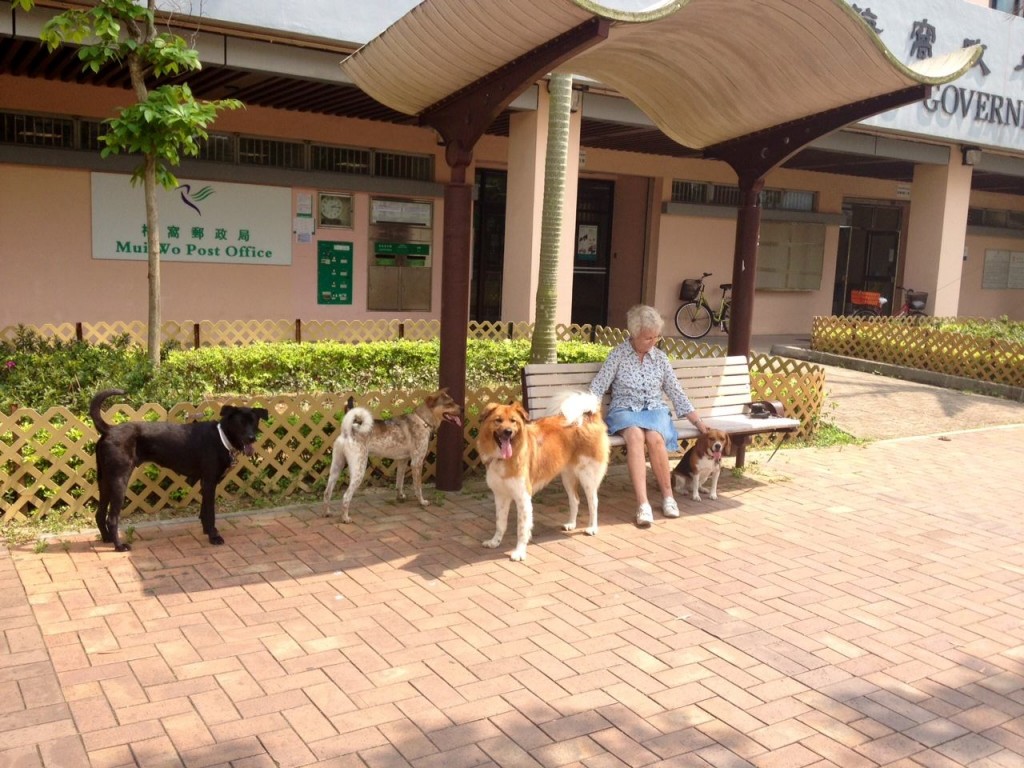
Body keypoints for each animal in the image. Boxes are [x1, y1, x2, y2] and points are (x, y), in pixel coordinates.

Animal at [91, 393, 268, 548]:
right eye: (241, 423)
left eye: (254, 422)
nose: (252, 438)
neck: (222, 437)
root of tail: (109, 430)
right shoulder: (210, 481)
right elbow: (210, 513)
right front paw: (214, 537)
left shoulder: (205, 482)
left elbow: (204, 511)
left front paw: (207, 531)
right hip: (119, 480)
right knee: (112, 518)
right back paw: (119, 546)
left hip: (105, 481)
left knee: (99, 514)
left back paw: (107, 539)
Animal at [321, 391, 462, 524]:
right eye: (449, 404)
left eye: (453, 401)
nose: (462, 409)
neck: (423, 421)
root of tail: (347, 431)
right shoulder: (417, 462)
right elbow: (418, 487)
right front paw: (422, 502)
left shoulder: (402, 461)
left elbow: (399, 482)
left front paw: (400, 497)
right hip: (359, 470)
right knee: (346, 496)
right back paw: (345, 518)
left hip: (336, 469)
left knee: (327, 492)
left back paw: (327, 513)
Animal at [477, 393, 610, 561]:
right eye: (498, 420)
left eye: (513, 421)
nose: (508, 431)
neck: (503, 458)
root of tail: (589, 416)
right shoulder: (500, 495)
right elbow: (500, 523)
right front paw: (495, 542)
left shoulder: (523, 497)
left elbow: (522, 528)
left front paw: (519, 552)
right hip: (567, 477)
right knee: (575, 500)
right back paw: (571, 524)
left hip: (587, 476)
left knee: (593, 502)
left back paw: (592, 527)